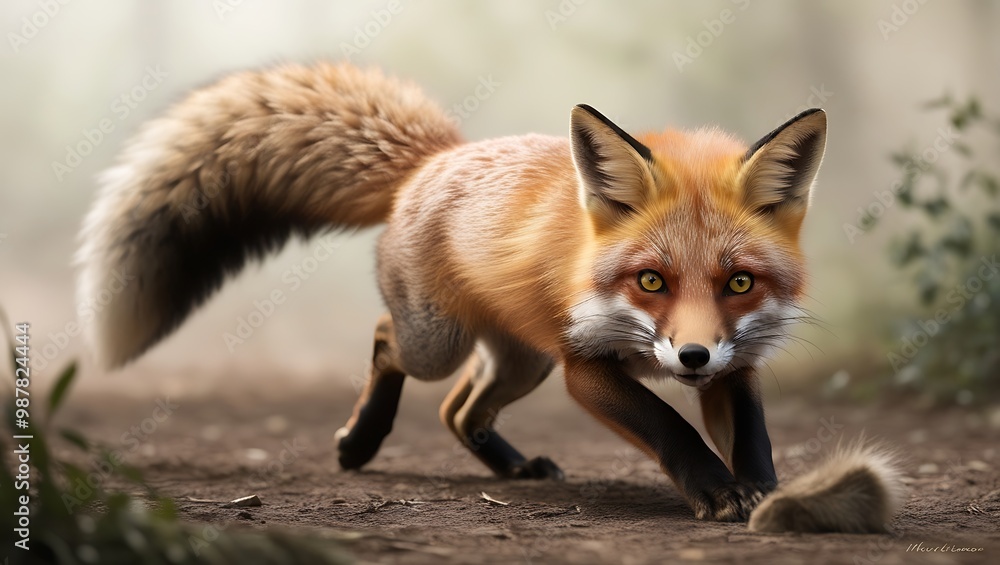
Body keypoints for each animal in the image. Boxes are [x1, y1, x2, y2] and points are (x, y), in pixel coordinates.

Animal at [76, 62, 903, 531]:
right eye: (651, 281)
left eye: (739, 282)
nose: (691, 354)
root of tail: (434, 158)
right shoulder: (584, 367)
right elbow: (669, 427)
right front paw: (714, 488)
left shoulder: (734, 363)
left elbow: (752, 434)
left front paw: (763, 489)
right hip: (443, 343)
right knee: (389, 344)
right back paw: (361, 439)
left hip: (521, 361)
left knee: (458, 409)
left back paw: (509, 466)